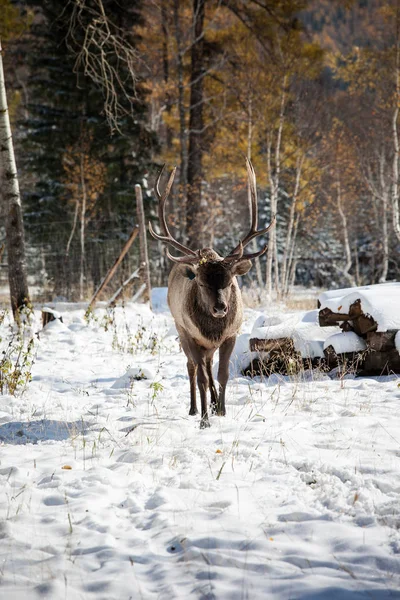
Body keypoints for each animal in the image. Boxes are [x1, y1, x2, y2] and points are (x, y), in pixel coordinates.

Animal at [150, 159, 276, 426]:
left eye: (230, 282)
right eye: (200, 283)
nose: (220, 308)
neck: (212, 330)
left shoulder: (231, 334)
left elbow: (223, 374)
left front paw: (222, 410)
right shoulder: (190, 334)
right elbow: (201, 377)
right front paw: (205, 420)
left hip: (208, 345)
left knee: (208, 365)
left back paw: (214, 402)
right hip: (181, 329)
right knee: (192, 367)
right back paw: (194, 408)